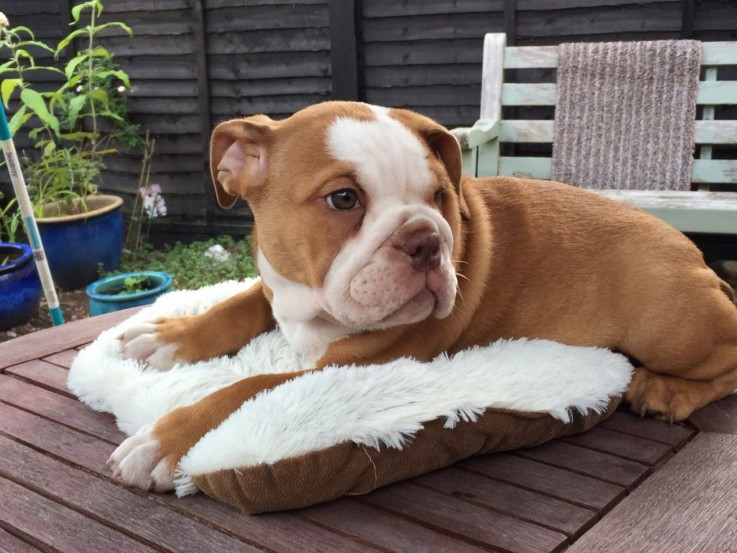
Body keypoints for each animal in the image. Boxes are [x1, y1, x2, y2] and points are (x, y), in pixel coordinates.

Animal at [109, 102, 736, 492]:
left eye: (440, 196)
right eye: (343, 199)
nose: (427, 238)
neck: (311, 309)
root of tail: (697, 258)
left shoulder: (361, 360)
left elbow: (248, 386)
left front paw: (164, 440)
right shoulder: (275, 286)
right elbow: (236, 306)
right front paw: (166, 337)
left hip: (667, 324)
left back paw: (667, 392)